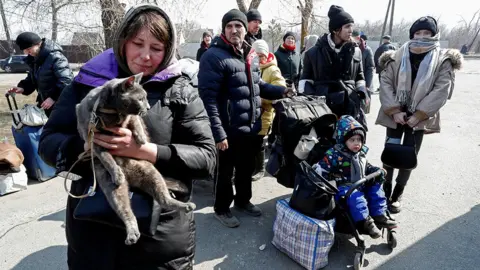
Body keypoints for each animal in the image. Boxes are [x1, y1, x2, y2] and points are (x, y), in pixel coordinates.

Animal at [75, 73, 195, 245]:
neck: (113, 113)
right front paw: (116, 171)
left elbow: (136, 121)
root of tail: (130, 176)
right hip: (111, 187)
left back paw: (185, 206)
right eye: (140, 99)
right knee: (126, 212)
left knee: (164, 199)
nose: (148, 107)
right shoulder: (94, 140)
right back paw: (132, 233)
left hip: (151, 172)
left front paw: (141, 138)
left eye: (146, 97)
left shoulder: (130, 117)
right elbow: (107, 158)